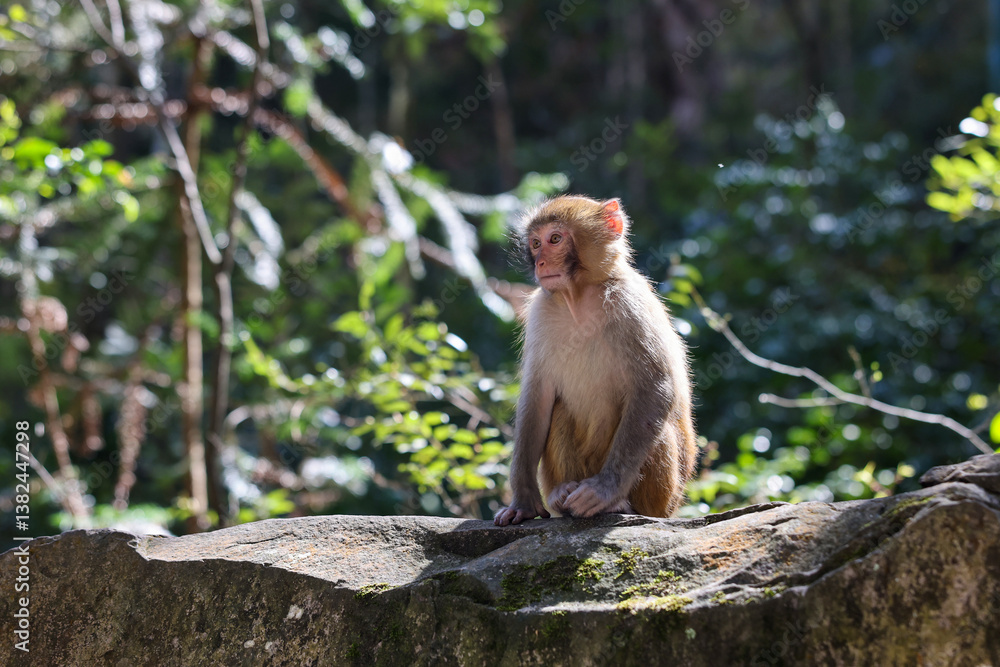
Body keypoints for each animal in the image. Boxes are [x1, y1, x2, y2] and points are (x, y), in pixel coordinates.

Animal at [494, 195, 697, 526]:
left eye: (555, 239)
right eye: (536, 243)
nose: (540, 262)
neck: (579, 298)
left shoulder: (630, 302)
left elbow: (656, 387)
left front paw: (604, 492)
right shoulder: (541, 311)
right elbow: (538, 398)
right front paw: (523, 501)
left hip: (664, 501)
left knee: (658, 423)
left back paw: (621, 505)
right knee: (559, 410)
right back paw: (561, 495)